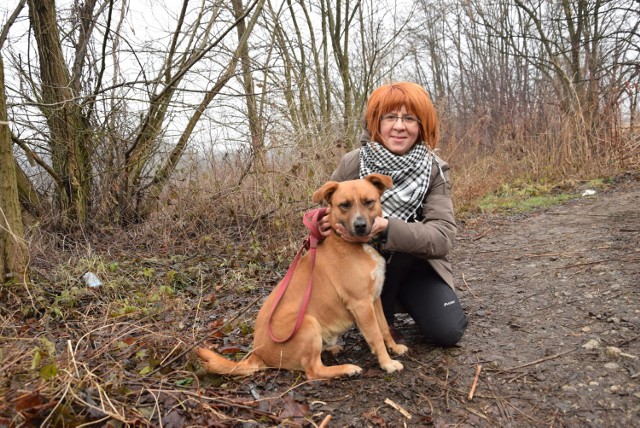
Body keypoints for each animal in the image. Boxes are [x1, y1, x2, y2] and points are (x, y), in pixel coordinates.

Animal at [198, 172, 408, 380]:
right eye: (344, 205)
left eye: (369, 202)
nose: (360, 226)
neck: (355, 244)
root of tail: (257, 353)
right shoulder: (361, 304)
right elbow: (376, 336)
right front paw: (387, 363)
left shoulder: (374, 299)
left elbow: (384, 328)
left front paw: (394, 348)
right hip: (307, 323)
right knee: (313, 371)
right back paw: (346, 368)